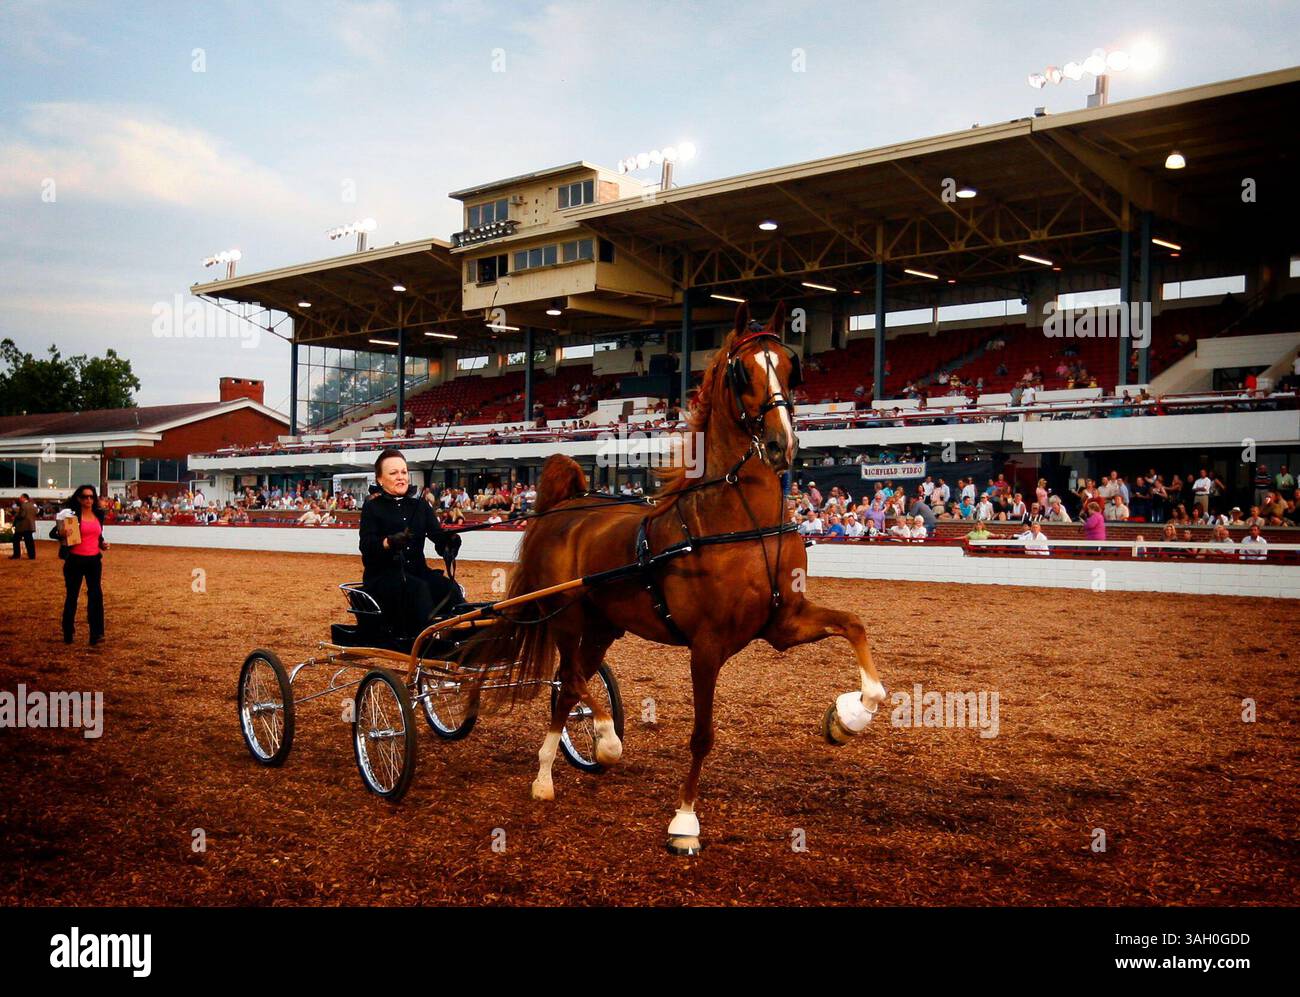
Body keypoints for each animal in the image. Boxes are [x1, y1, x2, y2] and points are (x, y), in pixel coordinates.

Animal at [457, 301, 888, 854]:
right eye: (742, 371)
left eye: (791, 367)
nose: (781, 444)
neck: (740, 519)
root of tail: (563, 506)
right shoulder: (707, 645)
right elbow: (702, 735)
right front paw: (684, 820)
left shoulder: (784, 623)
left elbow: (854, 624)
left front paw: (852, 714)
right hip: (568, 620)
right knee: (570, 678)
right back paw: (603, 742)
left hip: (603, 626)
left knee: (568, 686)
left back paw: (546, 777)